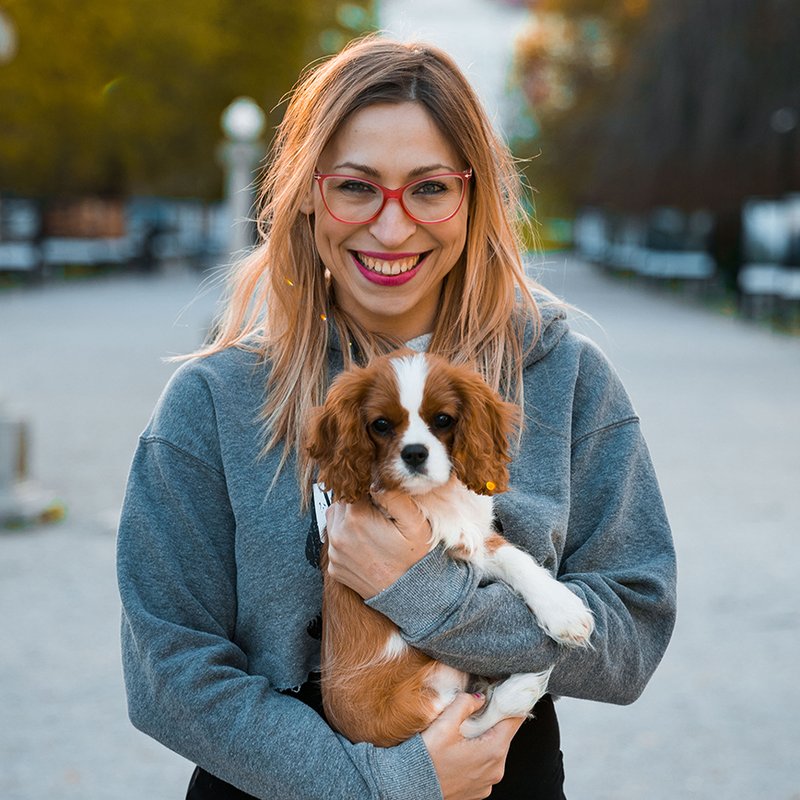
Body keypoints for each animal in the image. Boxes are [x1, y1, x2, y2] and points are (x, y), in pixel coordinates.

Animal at [306, 352, 592, 752]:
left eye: (443, 419)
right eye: (381, 425)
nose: (414, 453)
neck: (437, 495)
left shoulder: (482, 537)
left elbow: (515, 557)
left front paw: (563, 610)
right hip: (423, 700)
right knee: (467, 723)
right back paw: (521, 687)